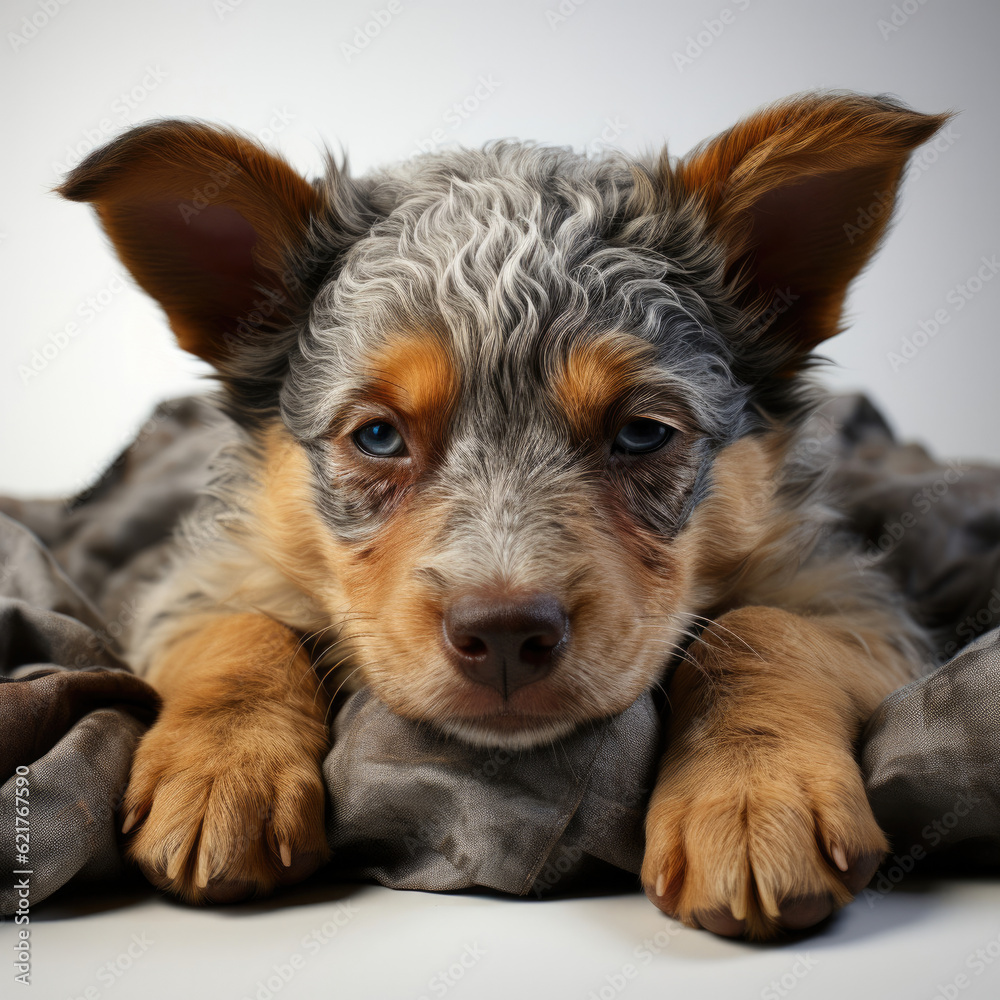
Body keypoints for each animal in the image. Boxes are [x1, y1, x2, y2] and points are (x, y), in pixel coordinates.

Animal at [58, 92, 948, 936]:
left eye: (642, 433)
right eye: (378, 436)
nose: (507, 637)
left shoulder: (848, 596)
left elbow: (760, 632)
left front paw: (754, 798)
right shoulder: (206, 574)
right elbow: (242, 631)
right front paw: (220, 773)